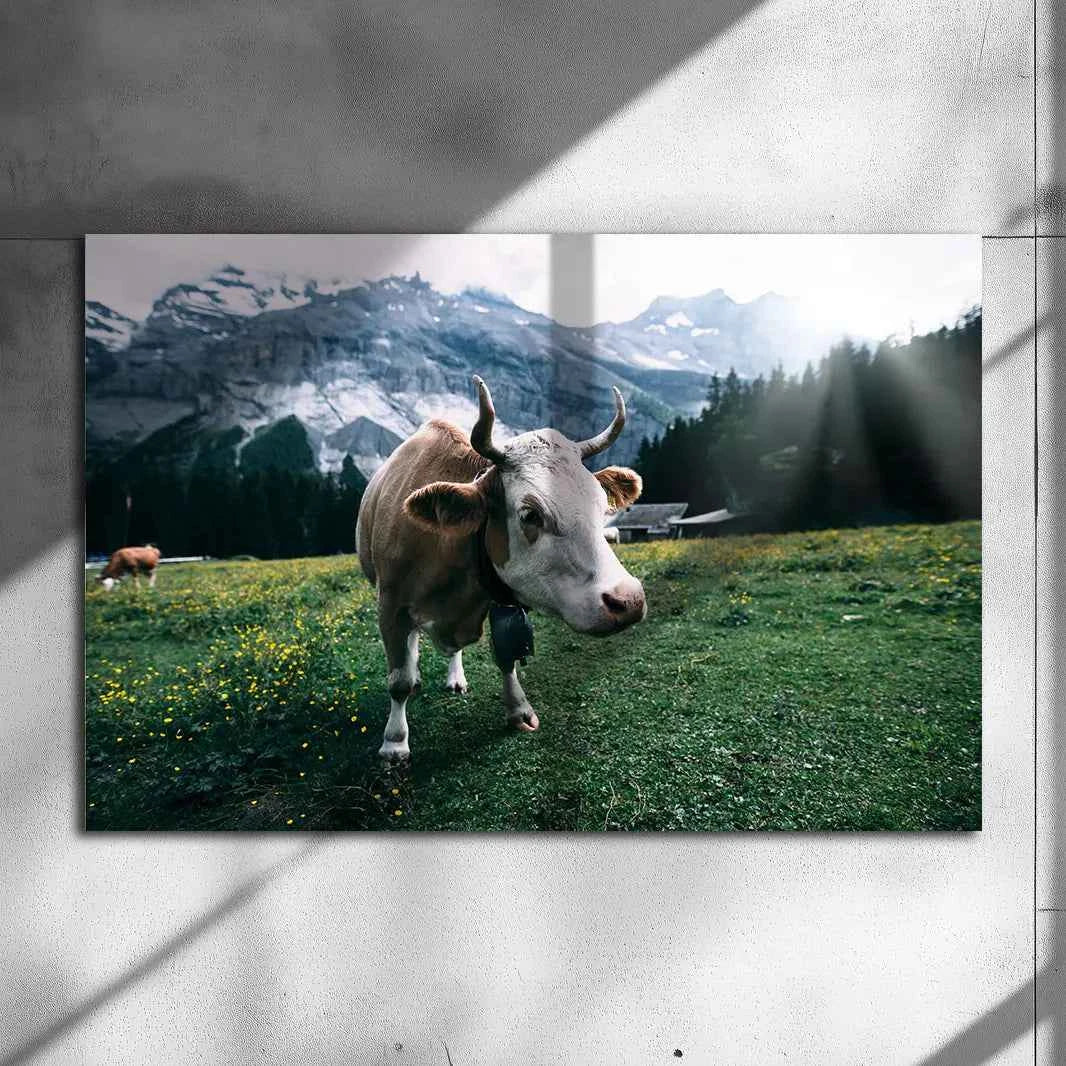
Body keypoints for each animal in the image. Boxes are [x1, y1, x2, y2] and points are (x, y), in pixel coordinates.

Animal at [356, 376, 646, 761]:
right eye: (530, 514)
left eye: (602, 504)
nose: (628, 600)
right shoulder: (390, 605)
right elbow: (399, 681)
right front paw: (394, 741)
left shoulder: (499, 599)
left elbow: (506, 655)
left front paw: (519, 710)